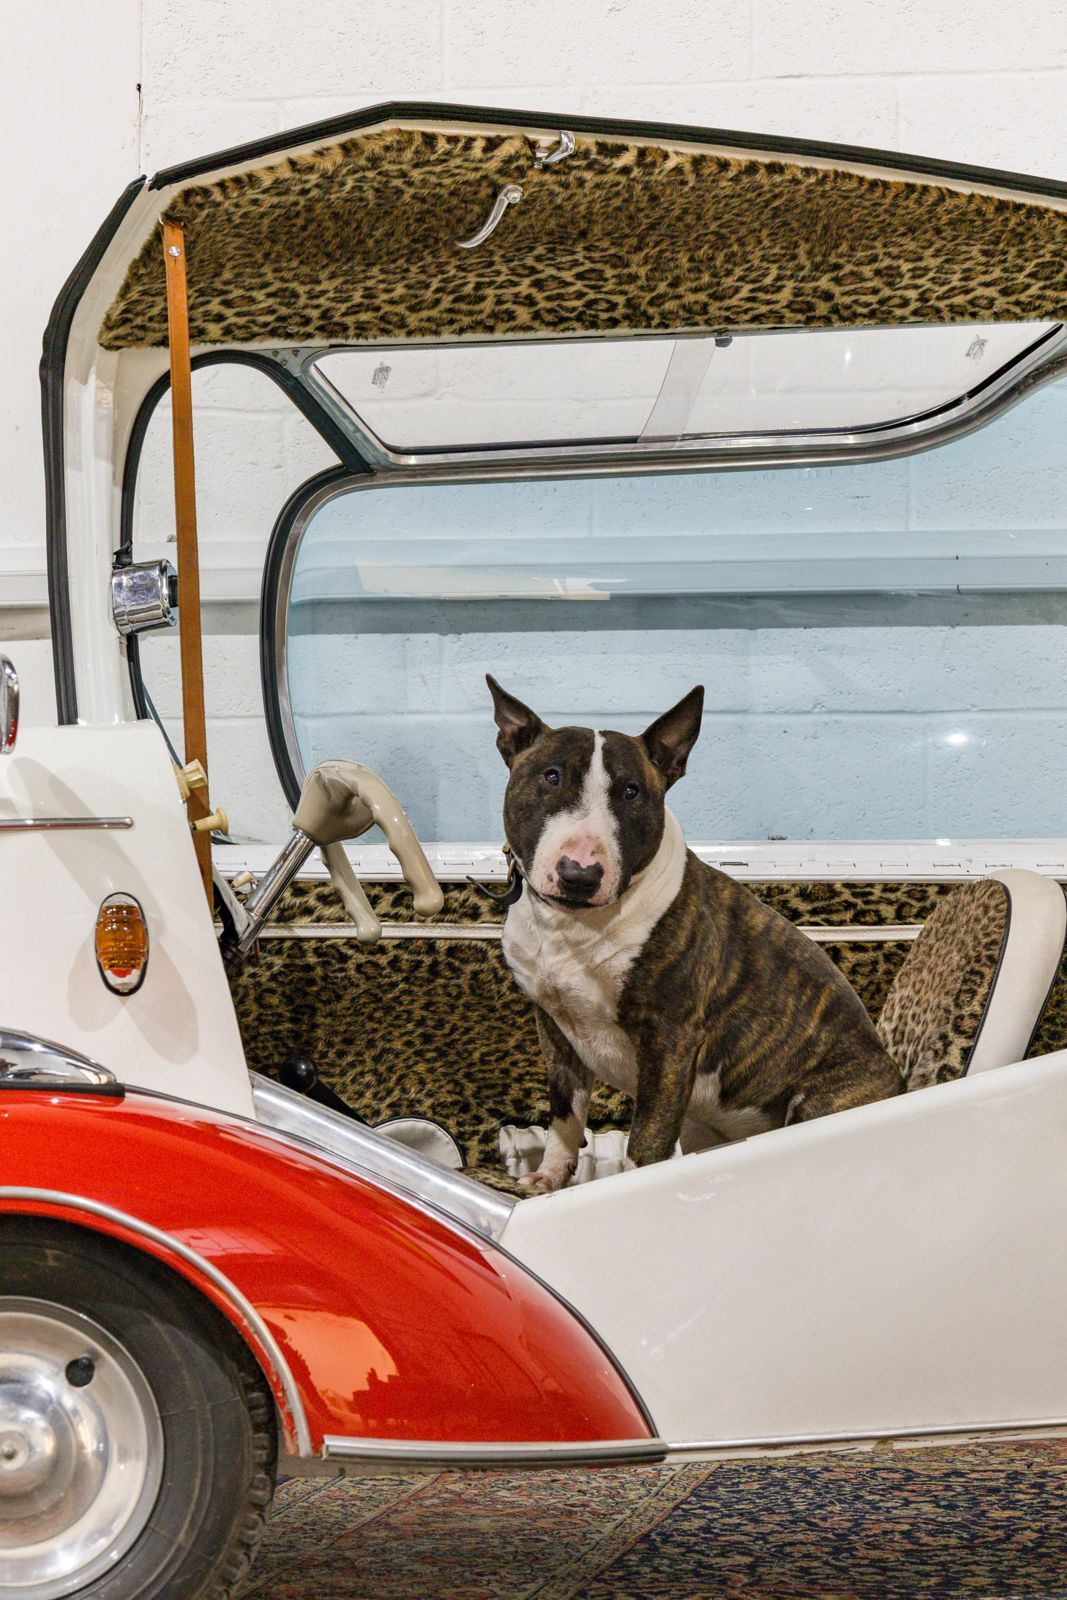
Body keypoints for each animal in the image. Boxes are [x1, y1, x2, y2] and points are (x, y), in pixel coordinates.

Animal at [488, 676, 904, 1193]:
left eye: (631, 791)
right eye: (551, 776)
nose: (579, 875)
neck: (574, 926)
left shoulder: (671, 1040)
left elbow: (645, 1141)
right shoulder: (553, 1026)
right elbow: (565, 1113)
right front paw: (547, 1178)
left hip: (818, 1100)